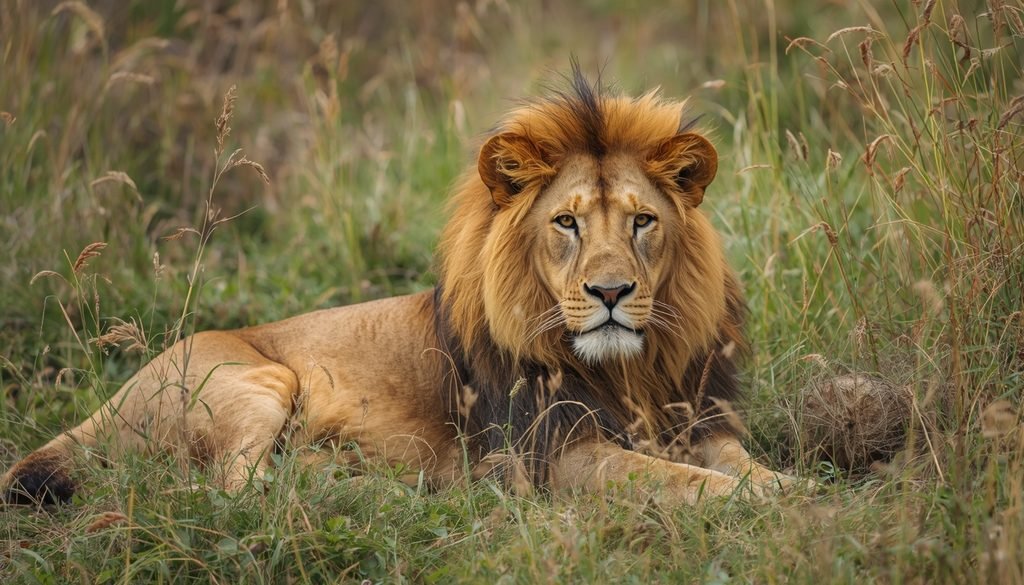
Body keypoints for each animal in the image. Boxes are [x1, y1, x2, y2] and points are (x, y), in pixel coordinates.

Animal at [3, 68, 792, 506]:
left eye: (642, 221)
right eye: (566, 222)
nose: (610, 292)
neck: (631, 369)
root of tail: (102, 409)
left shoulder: (701, 418)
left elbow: (734, 461)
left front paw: (790, 485)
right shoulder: (554, 456)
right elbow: (673, 479)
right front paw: (753, 502)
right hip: (257, 379)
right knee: (231, 488)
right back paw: (360, 486)